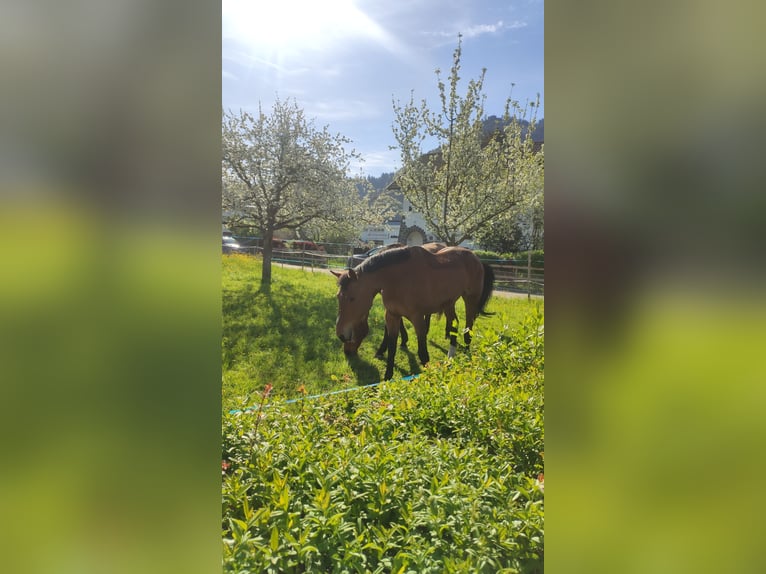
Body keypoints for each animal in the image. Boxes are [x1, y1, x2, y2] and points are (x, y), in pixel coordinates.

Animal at [332, 244, 496, 382]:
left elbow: (423, 353)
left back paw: (467, 353)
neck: (397, 279)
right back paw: (451, 355)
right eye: (338, 296)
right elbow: (392, 348)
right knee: (454, 322)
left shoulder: (418, 319)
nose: (341, 335)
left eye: (352, 298)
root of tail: (476, 258)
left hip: (470, 299)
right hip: (448, 303)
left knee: (469, 326)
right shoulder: (392, 316)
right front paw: (387, 378)